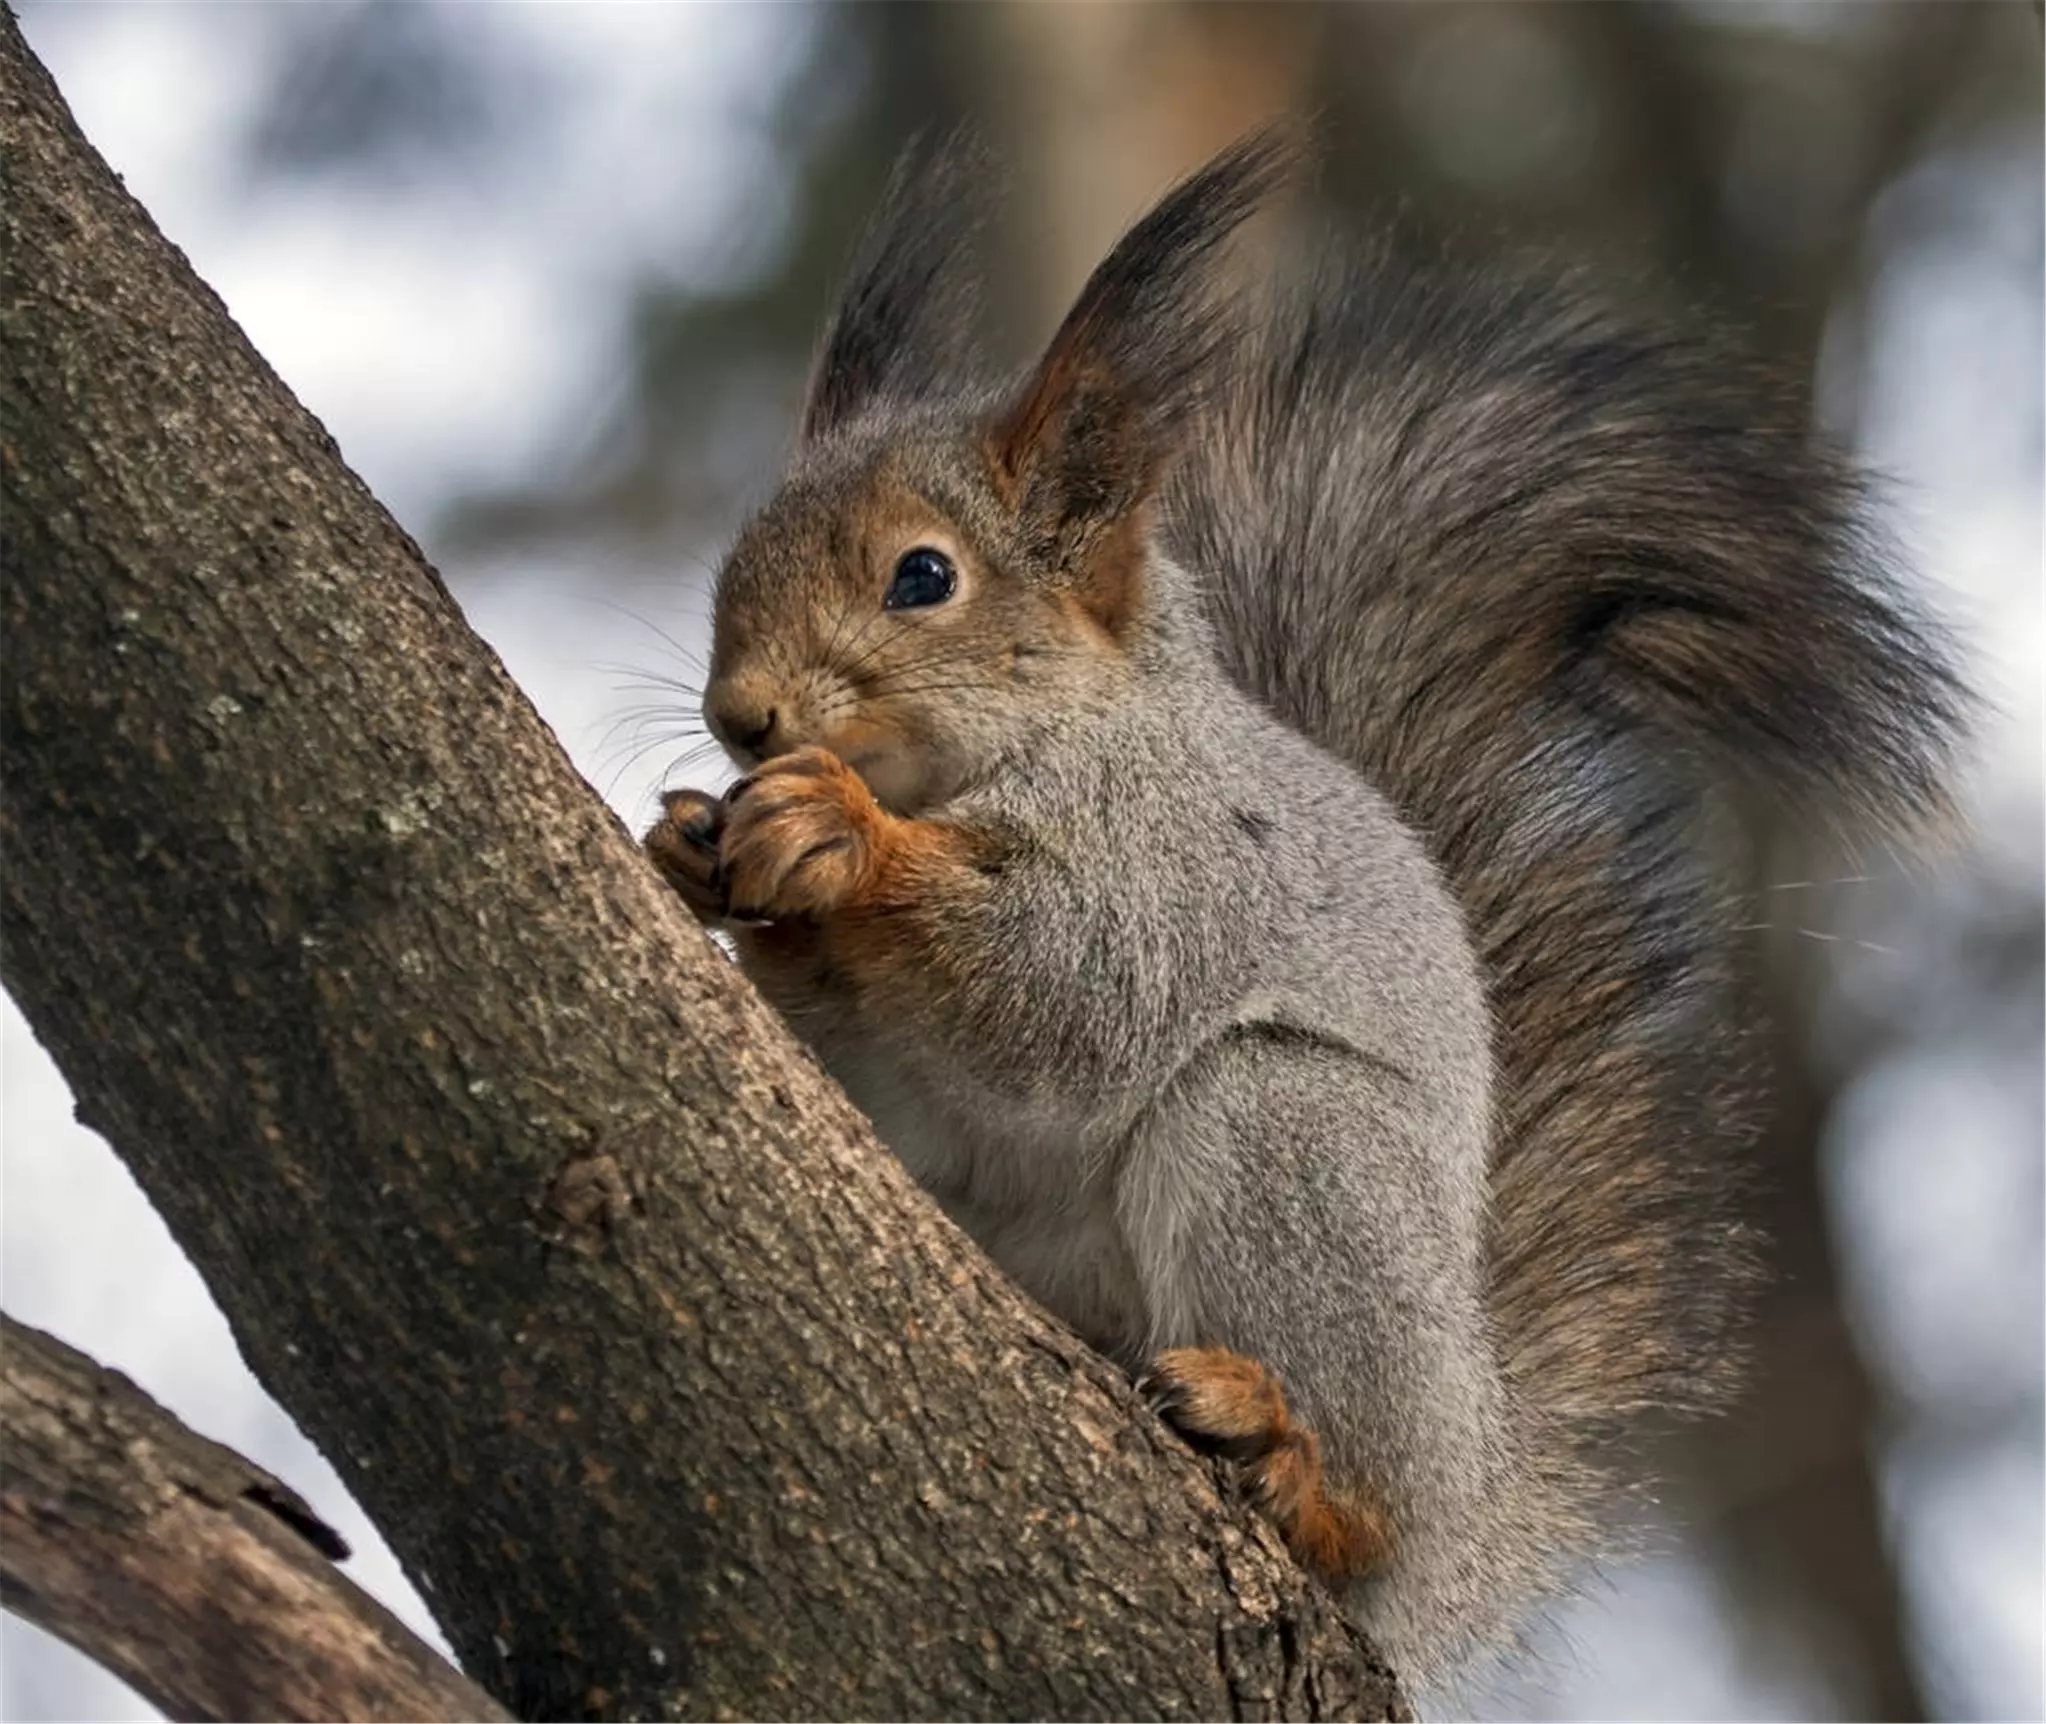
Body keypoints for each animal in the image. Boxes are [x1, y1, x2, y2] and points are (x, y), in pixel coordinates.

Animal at [638, 138, 1964, 1701]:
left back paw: (1294, 1462)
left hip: (1294, 1148)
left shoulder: (1183, 869)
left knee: (1354, 1483)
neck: (1036, 739)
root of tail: (1470, 1498)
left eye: (923, 576)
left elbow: (1066, 999)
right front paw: (694, 849)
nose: (740, 717)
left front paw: (837, 833)